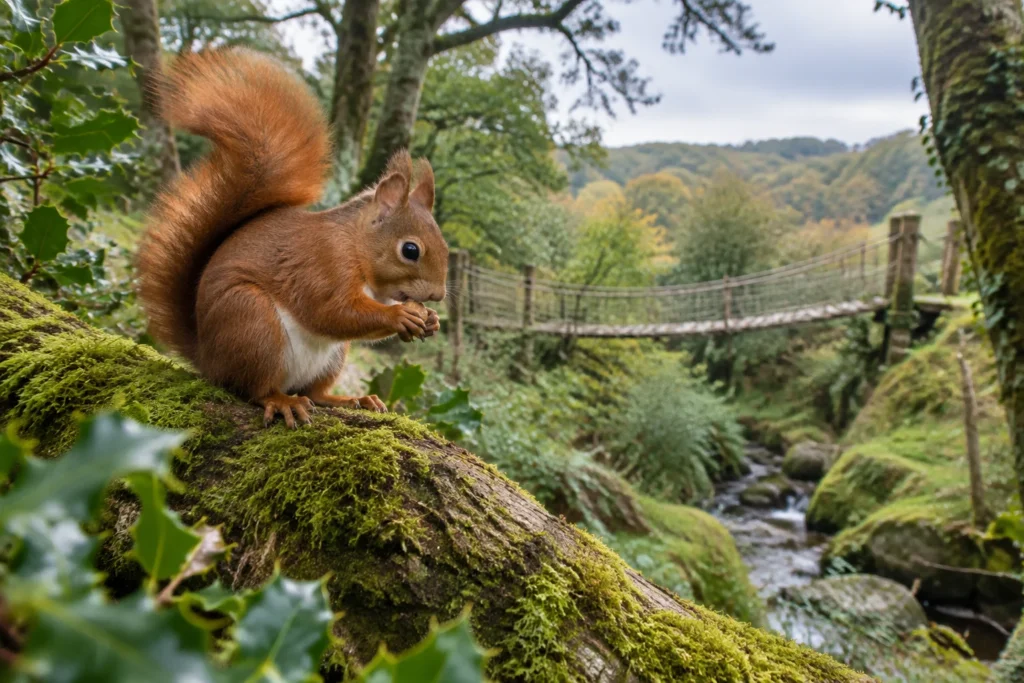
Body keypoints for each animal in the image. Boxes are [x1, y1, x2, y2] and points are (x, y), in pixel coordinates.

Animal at [135, 47, 448, 428]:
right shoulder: (321, 264)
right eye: (410, 250)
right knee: (254, 388)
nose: (438, 295)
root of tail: (208, 359)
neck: (354, 246)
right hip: (252, 322)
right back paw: (282, 401)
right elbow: (331, 312)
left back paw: (353, 399)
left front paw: (430, 320)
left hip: (331, 356)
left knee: (316, 391)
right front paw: (400, 316)